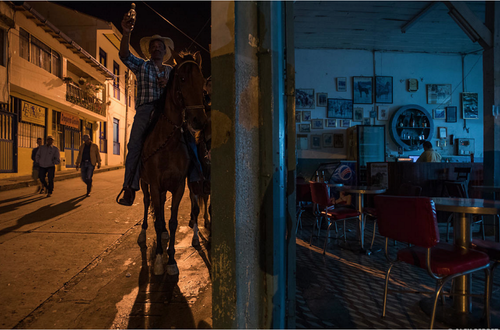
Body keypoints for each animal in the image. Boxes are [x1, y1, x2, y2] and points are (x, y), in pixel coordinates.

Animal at [137, 49, 207, 276]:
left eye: (202, 80)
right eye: (182, 79)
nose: (199, 121)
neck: (168, 142)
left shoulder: (178, 186)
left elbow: (172, 221)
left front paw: (171, 260)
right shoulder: (155, 184)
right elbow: (158, 221)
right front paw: (160, 260)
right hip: (144, 184)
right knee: (147, 203)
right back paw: (143, 233)